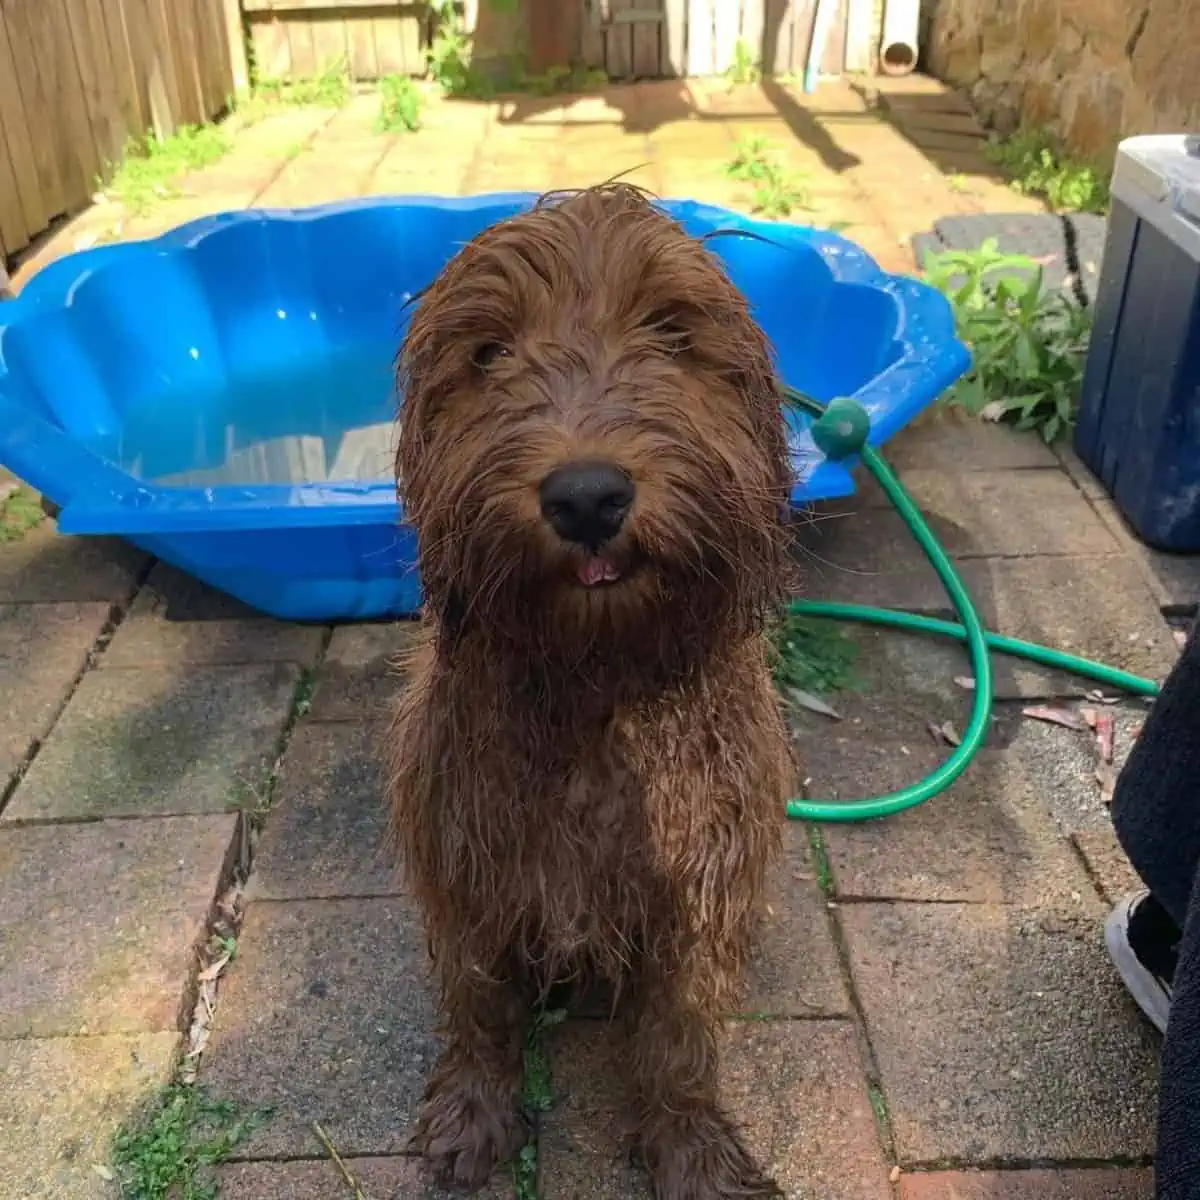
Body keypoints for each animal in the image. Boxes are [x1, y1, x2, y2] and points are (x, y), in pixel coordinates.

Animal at [384, 182, 796, 1195]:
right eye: (489, 352)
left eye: (671, 331)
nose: (586, 496)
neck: (599, 695)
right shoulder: (468, 870)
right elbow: (480, 1005)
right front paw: (474, 1111)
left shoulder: (701, 889)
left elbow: (681, 1033)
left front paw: (690, 1145)